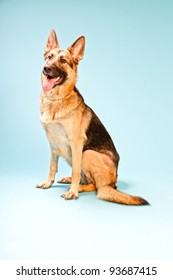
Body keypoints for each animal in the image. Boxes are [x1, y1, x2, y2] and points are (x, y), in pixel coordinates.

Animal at [36, 29, 149, 206]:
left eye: (63, 60)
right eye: (49, 57)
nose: (46, 68)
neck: (56, 99)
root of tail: (112, 184)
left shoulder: (76, 143)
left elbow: (76, 170)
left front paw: (73, 192)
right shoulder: (53, 143)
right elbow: (52, 167)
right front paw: (48, 183)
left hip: (87, 153)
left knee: (94, 185)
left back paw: (77, 188)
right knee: (85, 179)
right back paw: (69, 181)